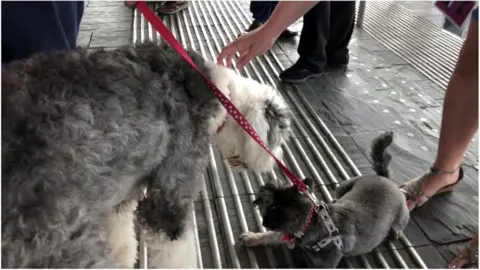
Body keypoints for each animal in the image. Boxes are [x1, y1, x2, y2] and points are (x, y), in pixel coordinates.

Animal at [1, 42, 292, 268]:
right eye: (280, 137)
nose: (277, 159)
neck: (220, 92)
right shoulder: (173, 188)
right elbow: (176, 249)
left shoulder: (123, 186)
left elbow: (121, 235)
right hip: (59, 243)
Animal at [240, 131, 408, 268]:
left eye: (271, 207)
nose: (258, 197)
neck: (312, 222)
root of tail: (384, 177)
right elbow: (271, 235)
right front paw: (253, 237)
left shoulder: (323, 264)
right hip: (343, 187)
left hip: (401, 213)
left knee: (400, 223)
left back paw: (396, 231)